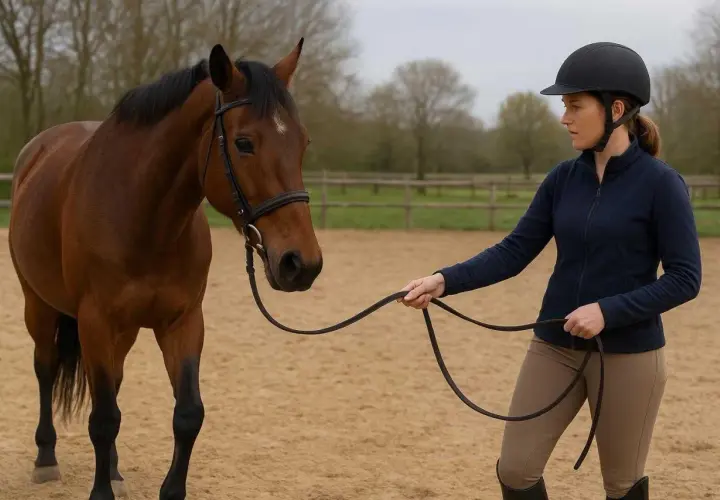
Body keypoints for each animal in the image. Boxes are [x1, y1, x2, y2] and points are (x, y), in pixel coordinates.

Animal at [7, 39, 323, 499]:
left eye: (302, 142)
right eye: (244, 143)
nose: (301, 263)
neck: (143, 215)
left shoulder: (183, 321)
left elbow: (187, 415)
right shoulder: (95, 321)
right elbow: (103, 419)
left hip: (124, 331)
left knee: (113, 384)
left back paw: (113, 469)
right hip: (40, 305)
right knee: (45, 369)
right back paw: (46, 458)